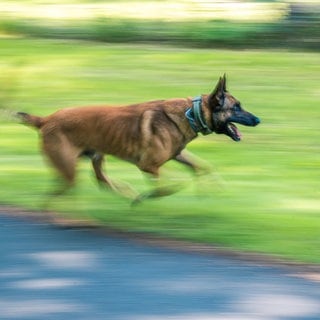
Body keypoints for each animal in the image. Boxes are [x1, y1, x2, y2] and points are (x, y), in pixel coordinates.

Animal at [17, 74, 260, 204]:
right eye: (236, 107)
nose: (258, 119)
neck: (191, 113)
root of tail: (45, 119)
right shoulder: (149, 165)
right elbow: (171, 185)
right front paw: (146, 197)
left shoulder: (178, 154)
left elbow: (203, 167)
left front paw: (210, 189)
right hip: (69, 168)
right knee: (57, 194)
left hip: (95, 158)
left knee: (100, 181)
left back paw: (124, 192)